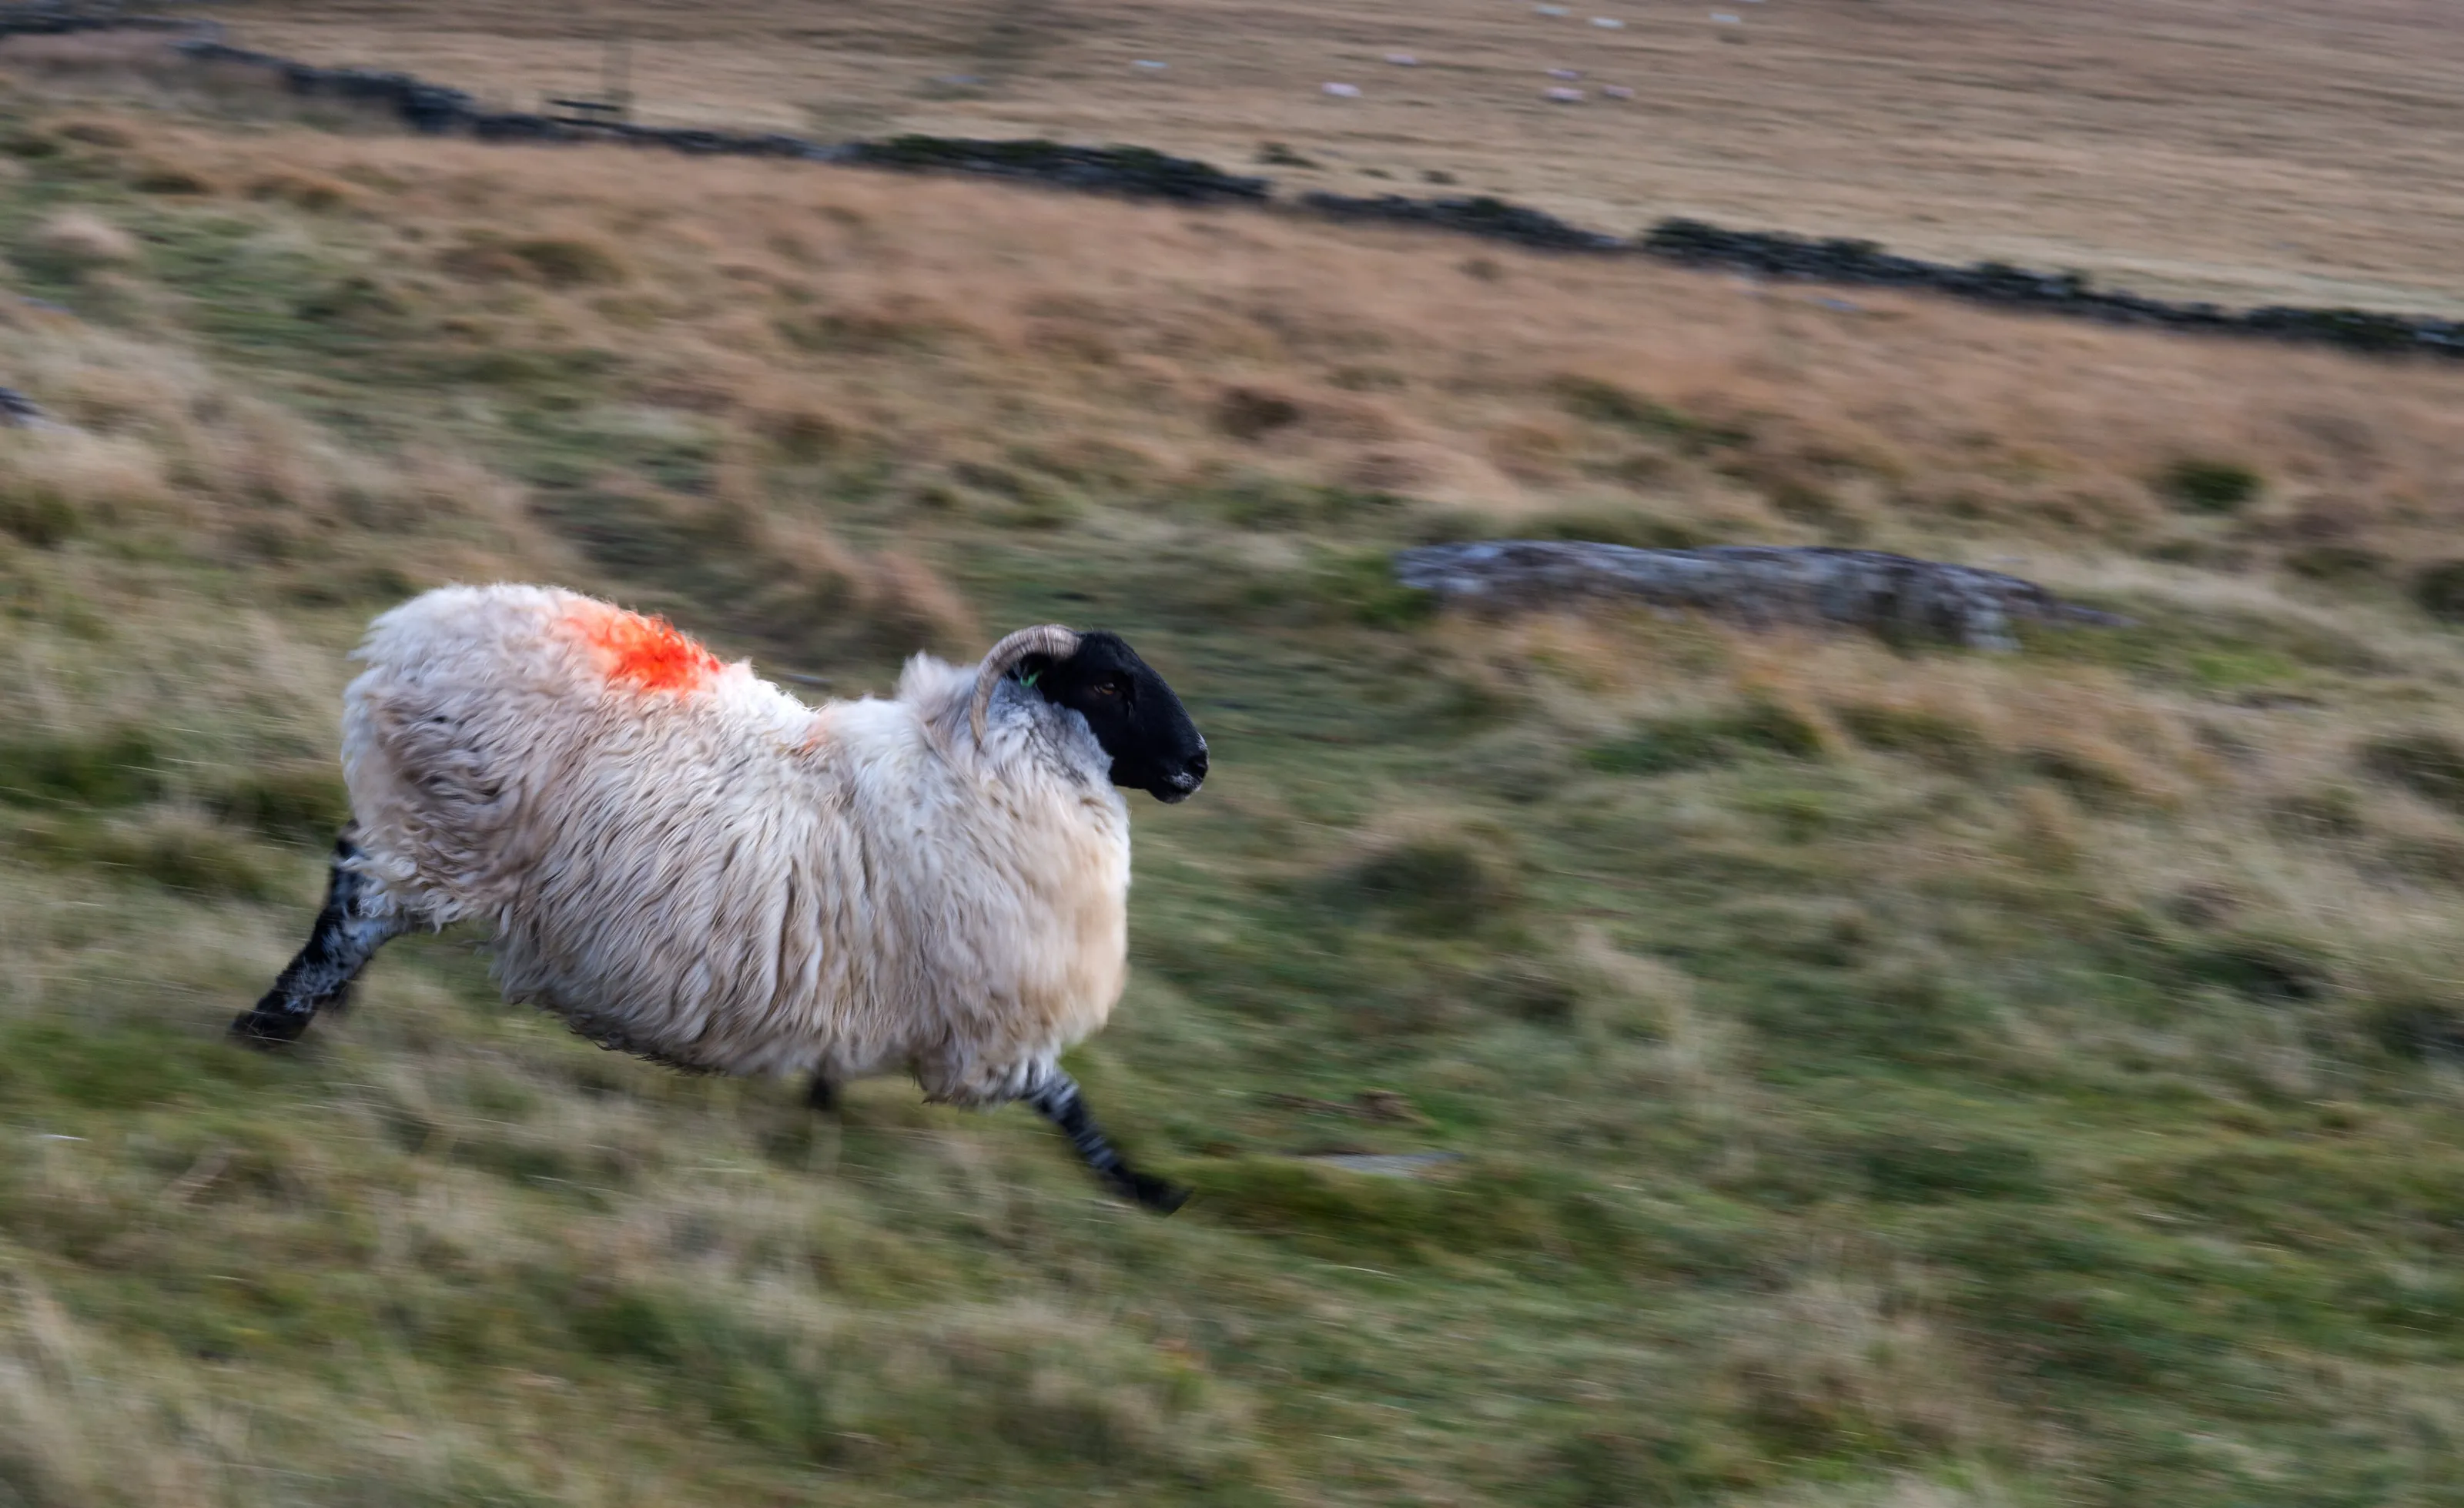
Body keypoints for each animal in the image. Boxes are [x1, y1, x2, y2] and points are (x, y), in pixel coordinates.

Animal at [232, 584, 1210, 1212]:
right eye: (1110, 683)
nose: (1197, 763)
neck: (995, 770)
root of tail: (416, 632)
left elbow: (842, 1071)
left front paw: (818, 1122)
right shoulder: (985, 1020)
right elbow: (1063, 1098)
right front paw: (1144, 1187)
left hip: (419, 820)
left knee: (349, 869)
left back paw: (321, 1011)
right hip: (448, 834)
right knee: (354, 913)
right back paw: (272, 1023)